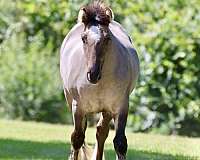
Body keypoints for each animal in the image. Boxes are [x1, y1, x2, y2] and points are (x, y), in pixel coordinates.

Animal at [60, 1, 140, 160]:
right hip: (72, 102)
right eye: (84, 38)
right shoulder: (78, 107)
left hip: (107, 110)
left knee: (101, 132)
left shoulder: (121, 107)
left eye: (107, 38)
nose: (93, 74)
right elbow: (77, 138)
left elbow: (120, 143)